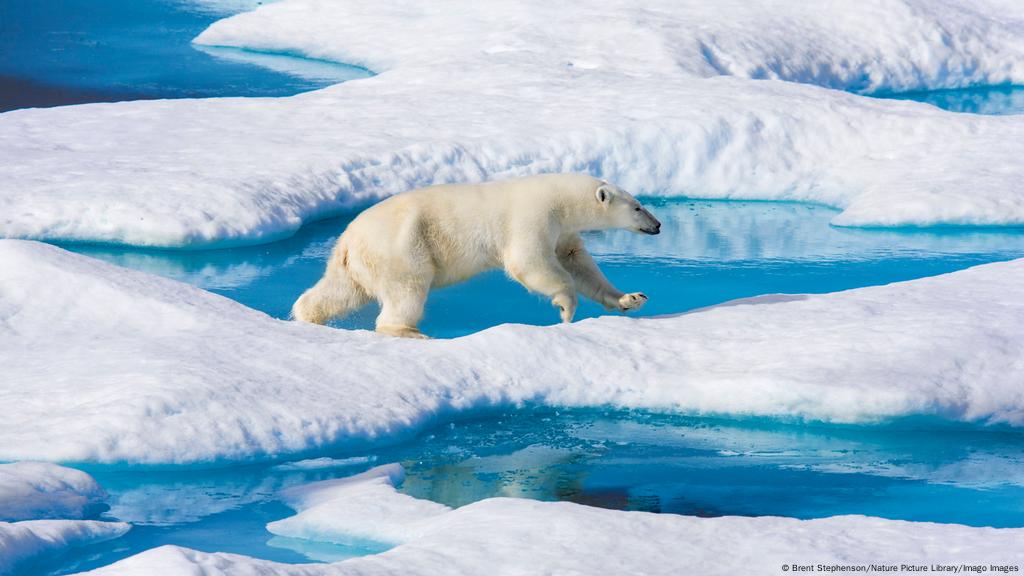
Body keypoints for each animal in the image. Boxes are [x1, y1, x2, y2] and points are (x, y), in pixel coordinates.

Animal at [294, 172, 663, 338]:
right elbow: (528, 261)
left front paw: (631, 298)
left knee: (339, 291)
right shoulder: (533, 216)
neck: (560, 198)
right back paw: (410, 331)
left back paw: (306, 315)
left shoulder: (563, 231)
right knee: (407, 290)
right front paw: (565, 308)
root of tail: (348, 240)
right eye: (637, 206)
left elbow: (579, 262)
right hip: (402, 248)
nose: (658, 225)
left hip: (357, 263)